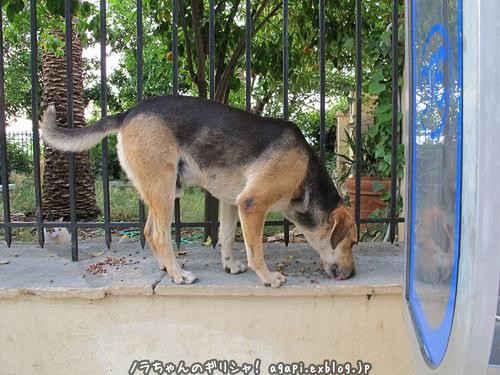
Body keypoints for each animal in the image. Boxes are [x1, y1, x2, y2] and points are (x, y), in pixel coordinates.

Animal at [41, 94, 358, 288]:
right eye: (352, 243)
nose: (353, 274)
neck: (304, 173)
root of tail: (129, 112)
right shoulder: (253, 204)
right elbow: (256, 251)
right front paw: (268, 278)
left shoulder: (233, 203)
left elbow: (227, 237)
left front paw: (229, 266)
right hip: (164, 189)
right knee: (159, 234)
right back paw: (178, 274)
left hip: (160, 192)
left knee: (149, 232)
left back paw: (166, 268)